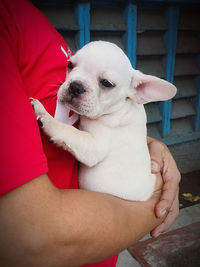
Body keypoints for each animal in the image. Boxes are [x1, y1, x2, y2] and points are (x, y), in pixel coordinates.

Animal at [31, 41, 177, 201]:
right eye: (70, 65)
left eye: (106, 83)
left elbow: (69, 130)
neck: (118, 108)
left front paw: (44, 115)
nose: (75, 86)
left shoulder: (96, 145)